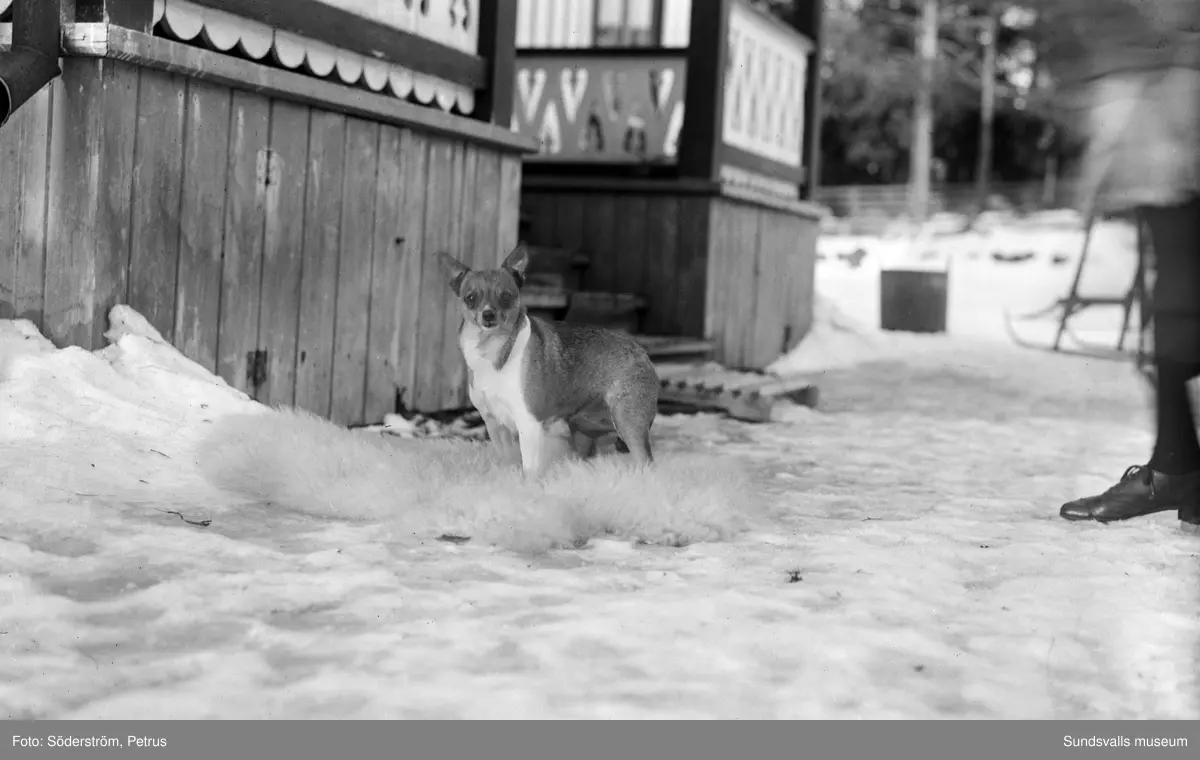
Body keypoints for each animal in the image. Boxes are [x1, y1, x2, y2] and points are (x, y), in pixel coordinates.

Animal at [434, 242, 657, 475]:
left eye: (506, 296)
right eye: (470, 298)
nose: (488, 315)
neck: (493, 349)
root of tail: (641, 351)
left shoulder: (528, 424)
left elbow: (530, 470)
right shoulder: (495, 425)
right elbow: (509, 462)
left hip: (628, 423)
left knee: (645, 460)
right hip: (584, 429)